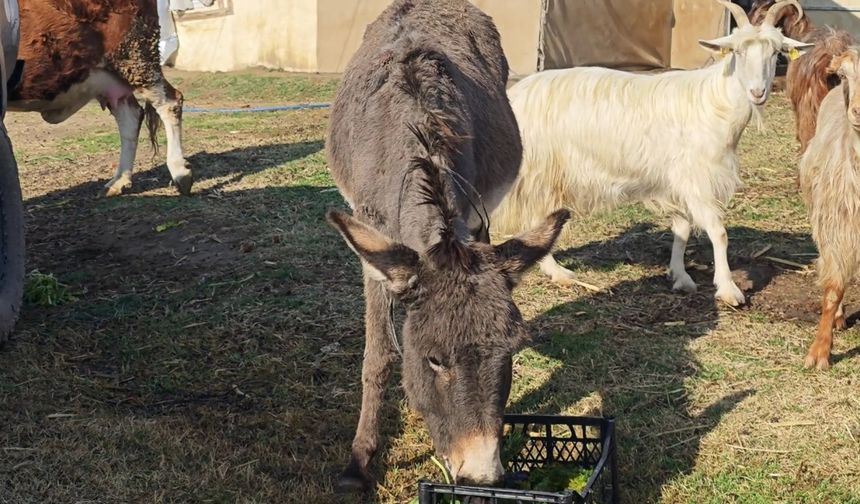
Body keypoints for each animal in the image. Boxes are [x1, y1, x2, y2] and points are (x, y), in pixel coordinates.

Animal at [8, 0, 190, 196]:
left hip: (135, 55)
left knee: (169, 102)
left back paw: (180, 173)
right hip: (109, 75)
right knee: (131, 117)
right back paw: (118, 181)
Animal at [494, 0, 808, 306]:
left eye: (776, 53)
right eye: (737, 51)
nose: (758, 92)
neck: (713, 101)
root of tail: (514, 95)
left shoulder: (676, 182)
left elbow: (682, 229)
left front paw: (680, 276)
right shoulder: (696, 179)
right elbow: (718, 232)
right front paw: (729, 290)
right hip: (536, 170)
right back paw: (557, 272)